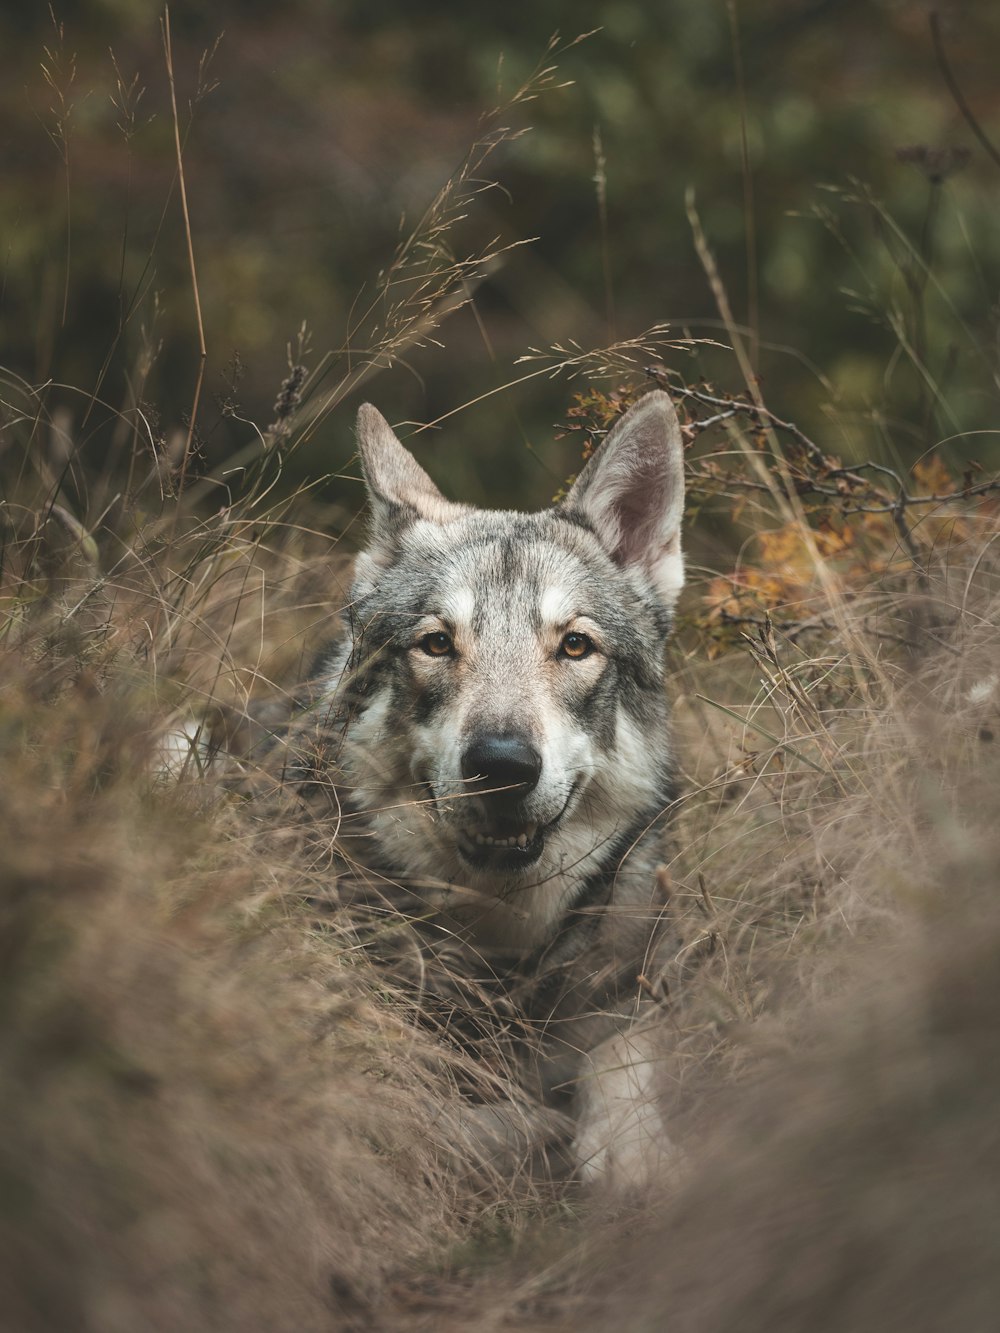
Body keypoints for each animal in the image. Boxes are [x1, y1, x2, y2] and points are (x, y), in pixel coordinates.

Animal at [309, 389, 688, 1194]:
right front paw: (529, 1133)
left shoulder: (632, 982)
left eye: (575, 645)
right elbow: (422, 1116)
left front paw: (629, 1155)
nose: (503, 764)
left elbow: (623, 1073)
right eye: (436, 643)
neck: (503, 945)